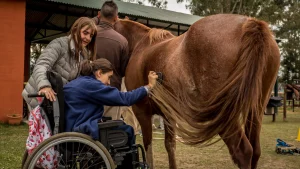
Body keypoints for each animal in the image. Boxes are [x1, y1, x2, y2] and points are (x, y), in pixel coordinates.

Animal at [115, 13, 282, 168]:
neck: (142, 46)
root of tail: (251, 23)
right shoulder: (169, 115)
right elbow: (170, 145)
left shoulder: (141, 111)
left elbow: (148, 147)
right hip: (255, 109)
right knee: (255, 150)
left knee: (243, 151)